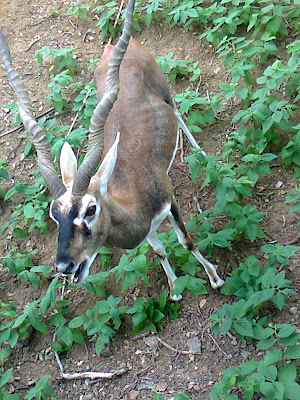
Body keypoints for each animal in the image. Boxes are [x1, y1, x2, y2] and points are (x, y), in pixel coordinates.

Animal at [0, 0, 224, 300]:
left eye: (90, 209)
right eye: (54, 214)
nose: (64, 266)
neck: (134, 197)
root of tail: (111, 48)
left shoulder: (170, 202)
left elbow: (185, 241)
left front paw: (215, 278)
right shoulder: (147, 232)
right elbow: (159, 250)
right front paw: (175, 289)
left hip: (167, 92)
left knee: (177, 112)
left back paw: (202, 154)